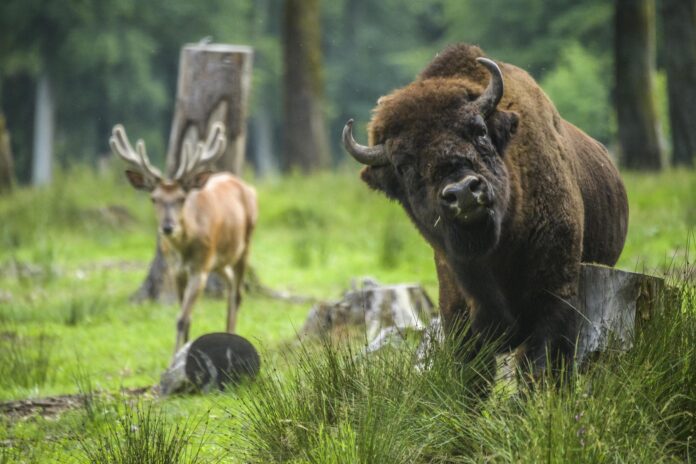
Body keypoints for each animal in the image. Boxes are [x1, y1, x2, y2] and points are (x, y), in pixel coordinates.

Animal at [344, 44, 632, 384]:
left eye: (479, 131)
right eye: (402, 165)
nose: (463, 192)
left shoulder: (554, 297)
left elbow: (538, 367)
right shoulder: (458, 313)